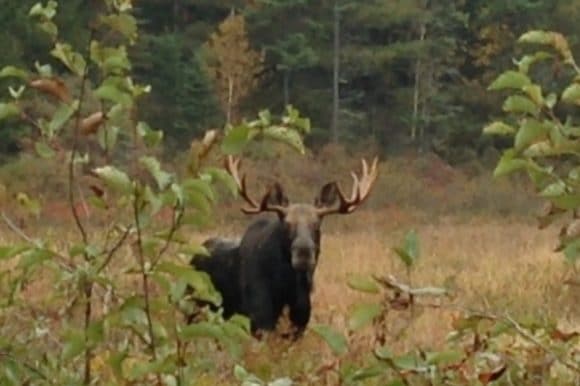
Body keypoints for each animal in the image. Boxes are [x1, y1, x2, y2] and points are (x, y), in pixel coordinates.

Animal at [190, 155, 378, 340]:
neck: (286, 288)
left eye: (317, 225)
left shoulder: (299, 324)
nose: (304, 252)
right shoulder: (259, 321)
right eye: (287, 224)